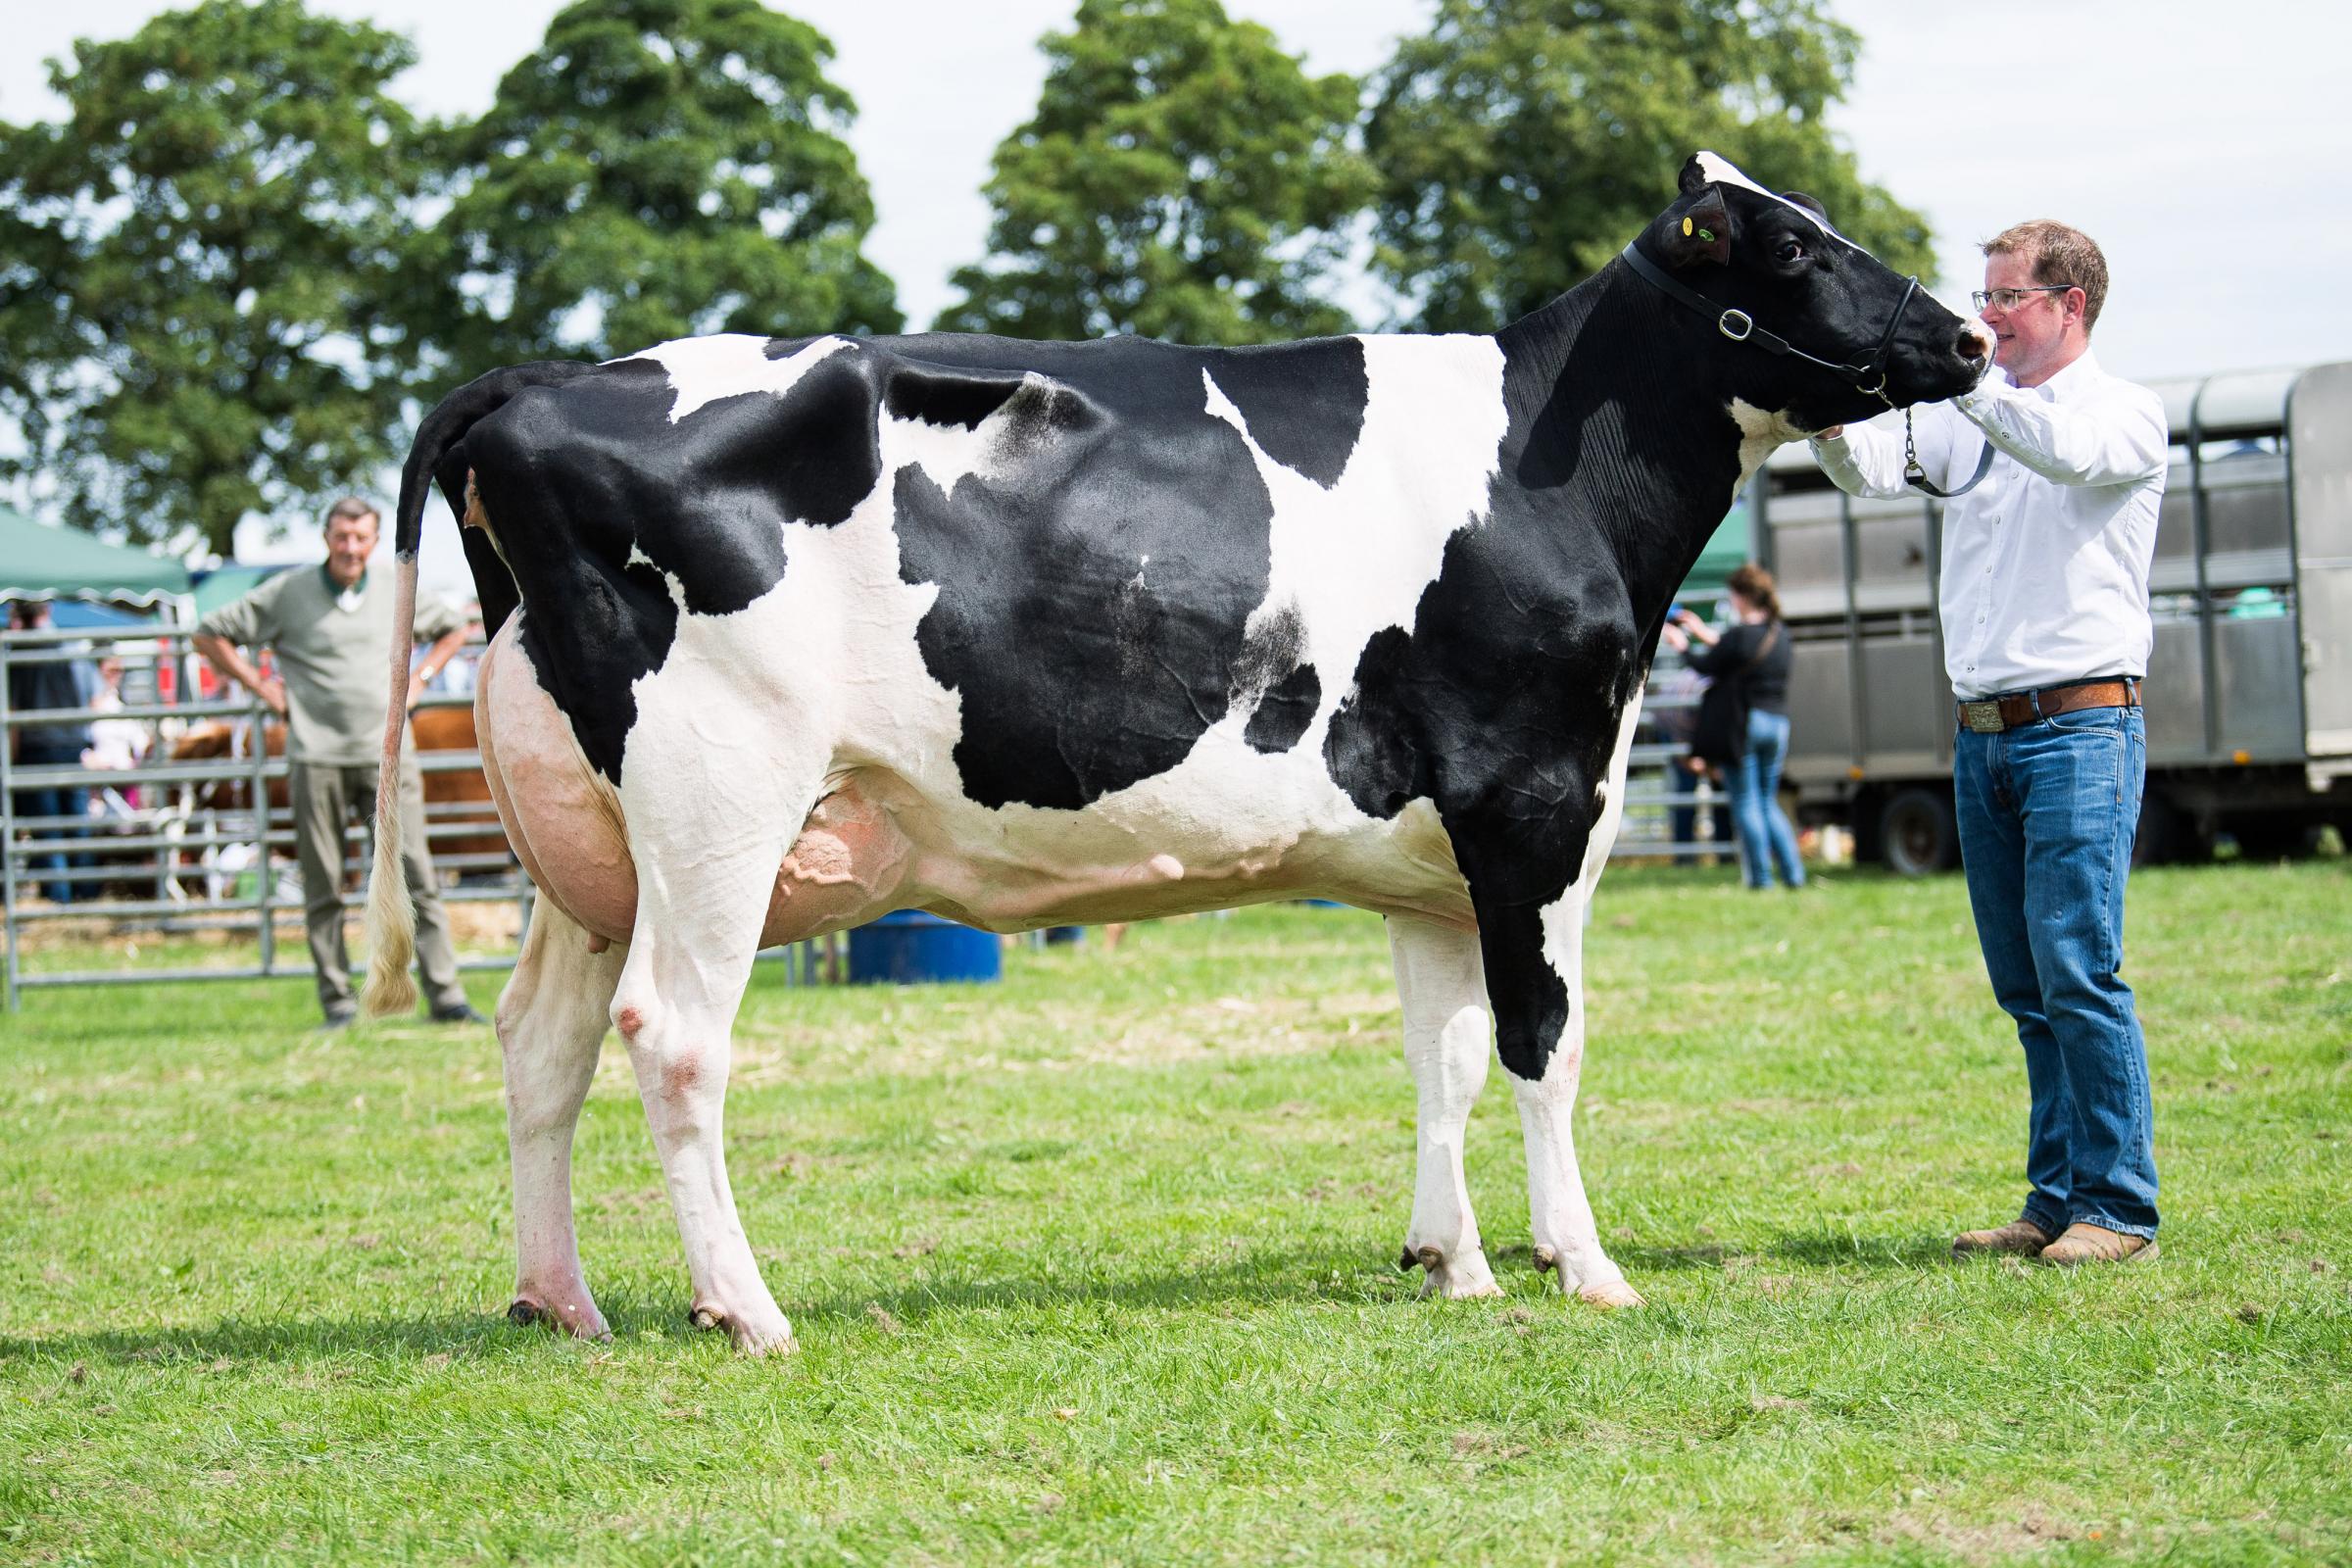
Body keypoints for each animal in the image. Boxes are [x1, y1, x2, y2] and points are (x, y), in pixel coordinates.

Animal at [367, 152, 1984, 1353]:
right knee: (674, 1036)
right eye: (1792, 247)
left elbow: (1446, 1057)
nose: (1969, 335)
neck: (1552, 468)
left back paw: (559, 1299)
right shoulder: (1537, 808)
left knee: (543, 1045)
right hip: (720, 797)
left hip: (590, 844)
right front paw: (1580, 1264)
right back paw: (745, 1310)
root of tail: (540, 382)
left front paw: (1449, 1261)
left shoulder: (1429, 861)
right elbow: (1545, 1044)